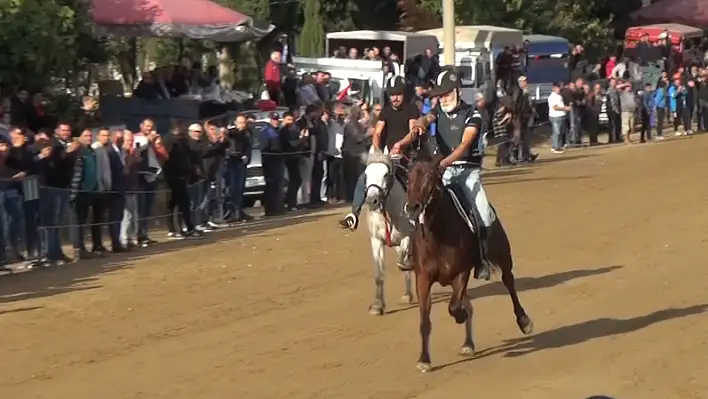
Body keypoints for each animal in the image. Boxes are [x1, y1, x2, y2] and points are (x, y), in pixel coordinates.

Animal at [362, 150, 412, 316]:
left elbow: (403, 260)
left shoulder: (408, 236)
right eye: (366, 174)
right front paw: (377, 305)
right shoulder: (376, 240)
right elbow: (379, 275)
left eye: (385, 174)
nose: (372, 200)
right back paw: (407, 294)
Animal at [404, 158, 532, 374]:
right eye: (408, 177)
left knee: (509, 282)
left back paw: (524, 321)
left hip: (503, 256)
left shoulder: (461, 272)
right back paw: (468, 343)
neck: (439, 234)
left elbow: (454, 307)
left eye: (430, 177)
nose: (412, 207)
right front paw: (424, 359)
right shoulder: (423, 278)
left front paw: (460, 316)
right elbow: (425, 320)